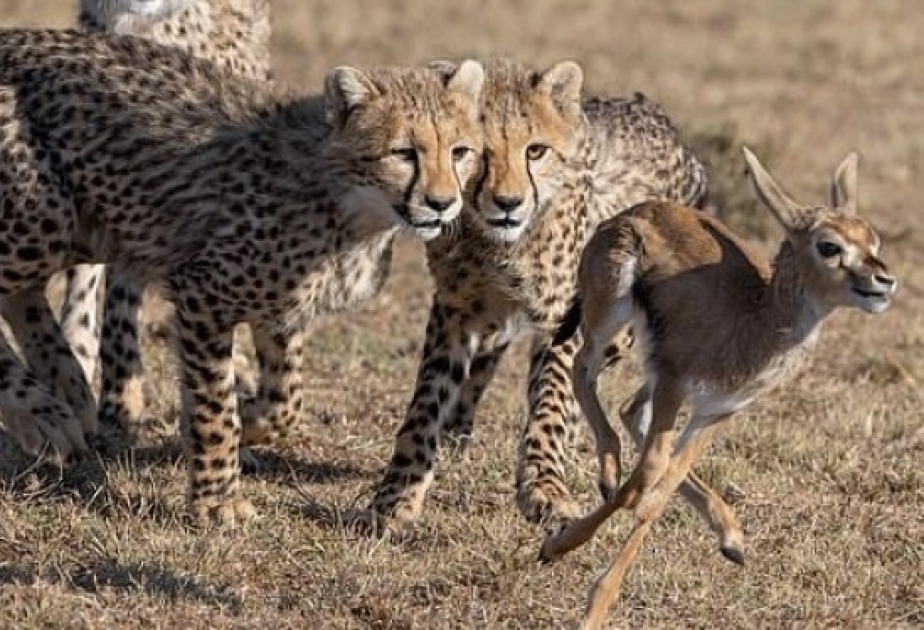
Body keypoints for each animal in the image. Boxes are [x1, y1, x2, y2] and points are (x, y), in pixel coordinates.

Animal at [368, 56, 716, 536]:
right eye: (472, 153)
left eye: (535, 150)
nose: (508, 203)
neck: (496, 245)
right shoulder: (454, 309)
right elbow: (427, 401)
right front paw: (397, 495)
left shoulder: (562, 319)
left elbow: (551, 402)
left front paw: (545, 489)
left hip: (617, 327)